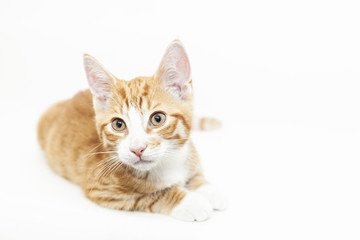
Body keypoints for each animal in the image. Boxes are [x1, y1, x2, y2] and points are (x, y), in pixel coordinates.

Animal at [38, 39, 226, 221]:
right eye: (118, 124)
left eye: (158, 119)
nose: (137, 149)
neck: (167, 162)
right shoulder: (103, 189)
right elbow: (153, 194)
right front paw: (190, 202)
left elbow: (196, 174)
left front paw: (208, 189)